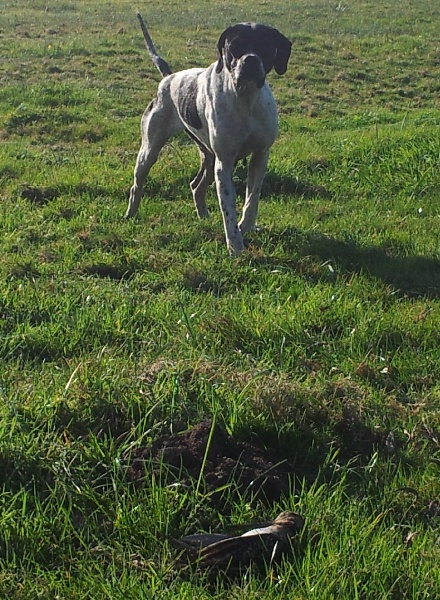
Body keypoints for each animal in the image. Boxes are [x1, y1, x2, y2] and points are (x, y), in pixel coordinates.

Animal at [125, 14, 292, 253]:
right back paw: (130, 214)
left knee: (196, 186)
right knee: (137, 186)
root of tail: (169, 78)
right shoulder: (225, 164)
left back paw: (203, 216)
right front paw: (235, 246)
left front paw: (246, 226)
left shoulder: (260, 156)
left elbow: (252, 200)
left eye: (265, 46)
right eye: (235, 46)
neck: (246, 100)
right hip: (149, 152)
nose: (250, 60)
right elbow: (228, 209)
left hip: (209, 157)